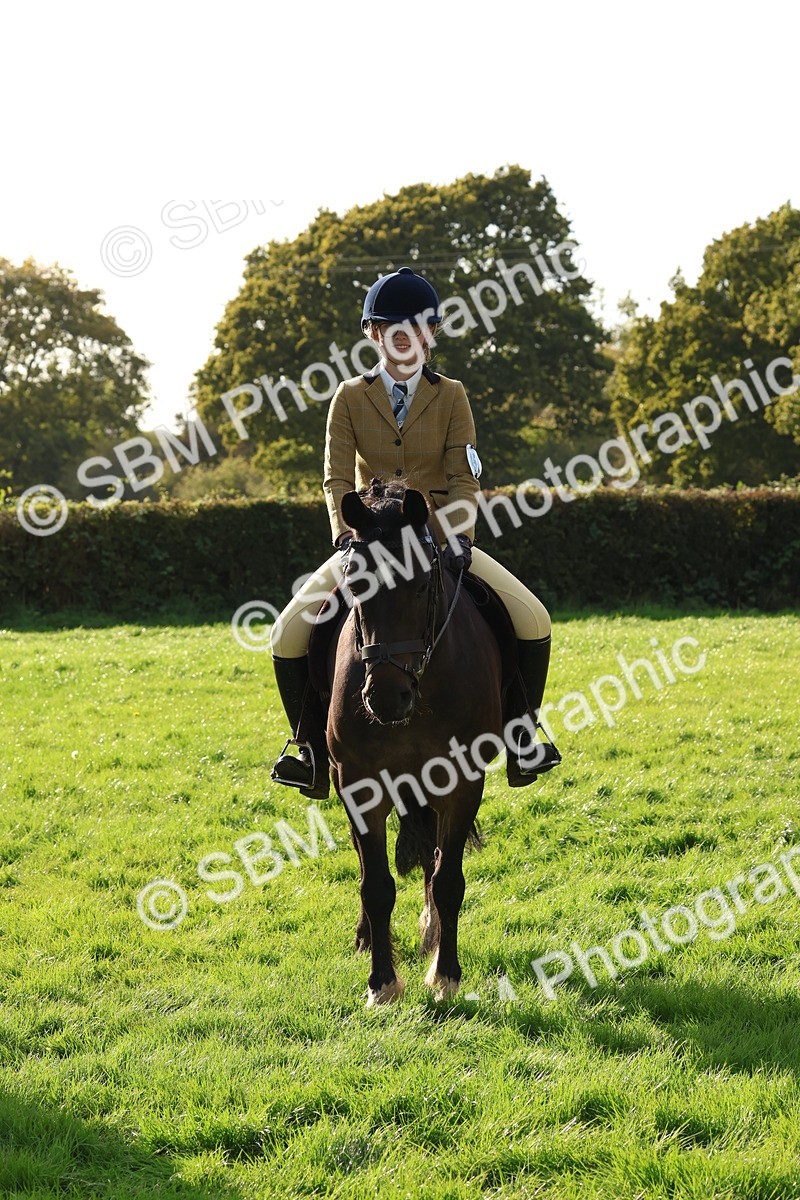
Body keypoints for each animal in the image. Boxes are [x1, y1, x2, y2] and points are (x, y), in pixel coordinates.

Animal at [324, 479, 505, 1007]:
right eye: (355, 584)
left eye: (423, 584)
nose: (387, 697)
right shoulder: (359, 783)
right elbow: (376, 884)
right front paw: (382, 983)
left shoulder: (463, 781)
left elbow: (448, 880)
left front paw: (444, 976)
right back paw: (368, 937)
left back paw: (431, 931)